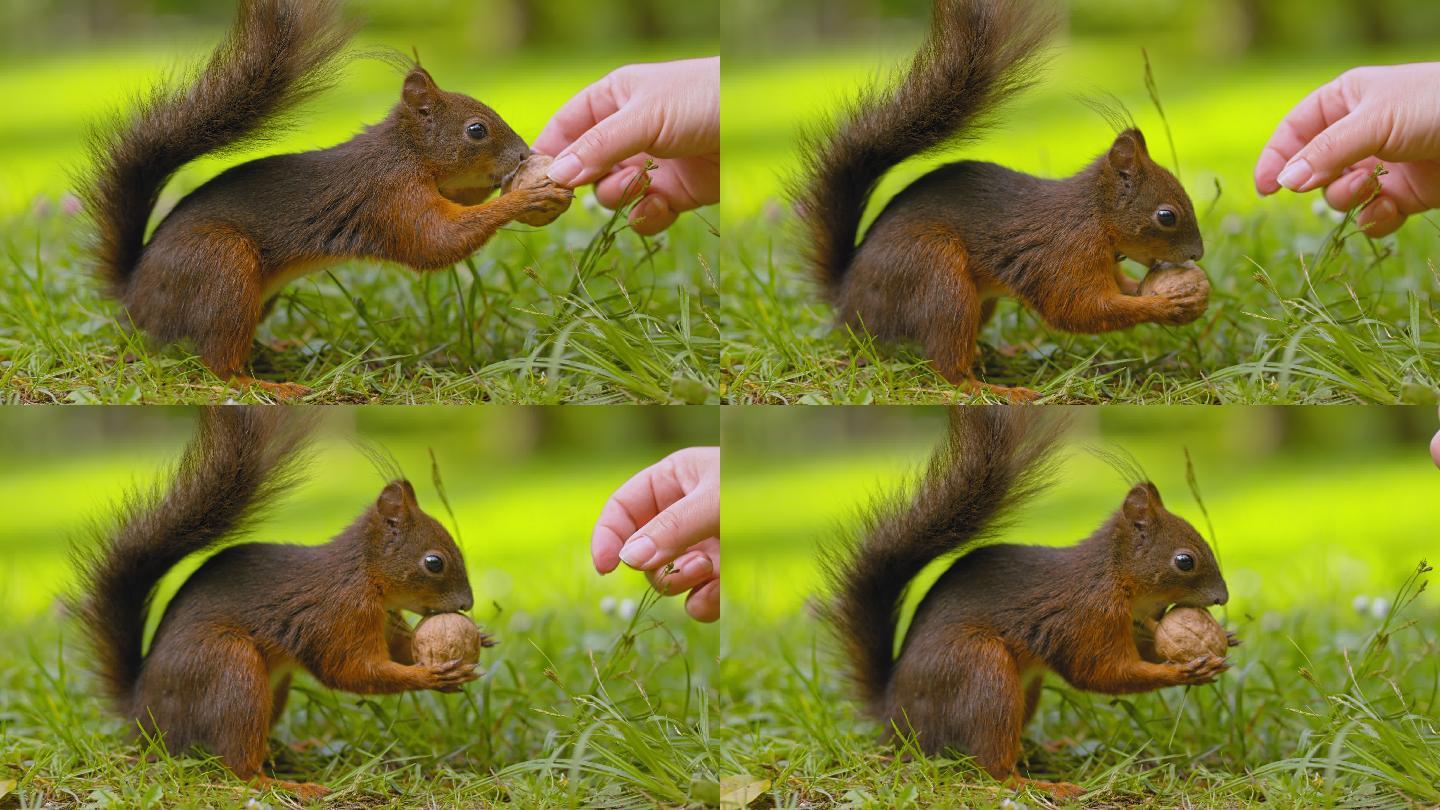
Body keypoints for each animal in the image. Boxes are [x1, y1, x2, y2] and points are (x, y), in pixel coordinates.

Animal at [70, 406, 483, 795]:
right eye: (434, 562)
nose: (467, 604)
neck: (365, 578)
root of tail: (143, 716)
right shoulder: (337, 615)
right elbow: (350, 670)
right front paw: (430, 675)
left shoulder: (386, 617)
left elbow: (399, 650)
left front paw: (480, 639)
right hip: (231, 670)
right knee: (237, 767)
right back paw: (285, 785)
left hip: (272, 688)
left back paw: (291, 750)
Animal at [81, 0, 570, 397]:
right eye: (476, 130)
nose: (523, 154)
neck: (406, 152)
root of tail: (135, 293)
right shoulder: (387, 196)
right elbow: (434, 242)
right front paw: (528, 196)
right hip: (220, 264)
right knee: (217, 365)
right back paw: (266, 385)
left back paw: (277, 346)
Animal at [794, 0, 1209, 400]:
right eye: (1166, 216)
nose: (1198, 255)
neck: (1094, 216)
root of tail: (849, 301)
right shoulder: (1061, 254)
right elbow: (1077, 308)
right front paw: (1164, 304)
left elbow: (1113, 290)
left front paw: (1150, 290)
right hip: (936, 275)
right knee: (947, 367)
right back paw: (995, 389)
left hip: (976, 299)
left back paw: (999, 353)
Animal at [823, 406, 1238, 795]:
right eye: (1184, 561)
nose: (1223, 598)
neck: (1118, 579)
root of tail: (896, 717)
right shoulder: (1087, 616)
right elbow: (1101, 672)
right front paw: (1183, 672)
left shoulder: (1136, 624)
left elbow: (1144, 650)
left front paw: (1225, 639)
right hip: (981, 671)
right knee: (990, 767)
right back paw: (1040, 784)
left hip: (1024, 689)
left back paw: (1044, 749)